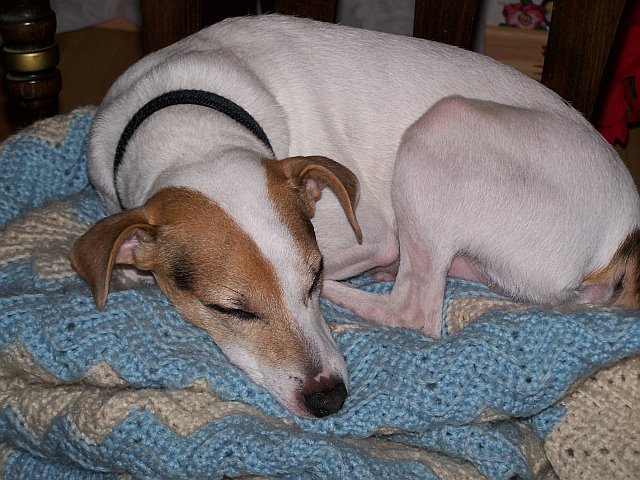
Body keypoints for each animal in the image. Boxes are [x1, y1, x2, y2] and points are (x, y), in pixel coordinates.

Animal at [70, 15, 640, 416]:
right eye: (231, 310)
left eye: (314, 276)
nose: (329, 399)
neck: (189, 123)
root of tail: (626, 234)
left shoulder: (370, 236)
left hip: (441, 128)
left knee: (414, 308)